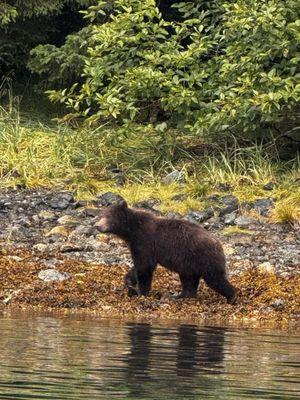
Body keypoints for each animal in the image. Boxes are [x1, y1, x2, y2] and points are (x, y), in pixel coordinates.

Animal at [95, 200, 237, 304]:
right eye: (100, 215)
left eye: (108, 217)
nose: (97, 226)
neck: (130, 231)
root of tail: (218, 243)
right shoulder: (137, 244)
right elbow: (138, 266)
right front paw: (129, 283)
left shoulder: (145, 241)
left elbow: (144, 266)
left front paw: (141, 292)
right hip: (189, 263)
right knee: (189, 279)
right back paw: (180, 296)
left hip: (204, 257)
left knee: (215, 279)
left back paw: (232, 297)